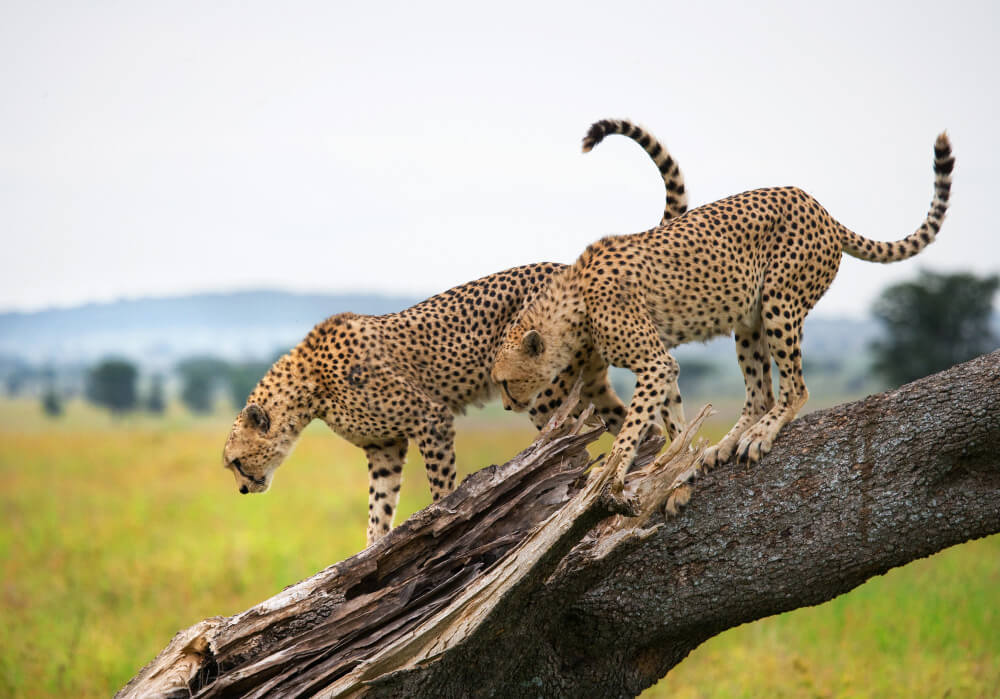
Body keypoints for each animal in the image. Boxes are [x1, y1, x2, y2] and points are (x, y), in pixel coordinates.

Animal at [221, 120, 688, 548]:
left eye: (236, 462)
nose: (242, 489)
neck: (309, 389)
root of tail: (569, 268)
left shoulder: (429, 418)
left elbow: (440, 485)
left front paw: (444, 525)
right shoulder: (384, 447)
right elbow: (379, 506)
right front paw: (371, 550)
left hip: (543, 389)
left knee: (578, 439)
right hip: (588, 379)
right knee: (636, 424)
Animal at [492, 126, 952, 492]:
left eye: (505, 381)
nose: (507, 408)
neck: (571, 306)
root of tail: (818, 206)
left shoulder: (653, 362)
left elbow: (634, 424)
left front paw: (615, 472)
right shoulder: (662, 363)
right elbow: (671, 414)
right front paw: (674, 463)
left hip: (780, 302)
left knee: (795, 388)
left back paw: (760, 435)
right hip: (748, 320)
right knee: (760, 392)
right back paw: (727, 443)